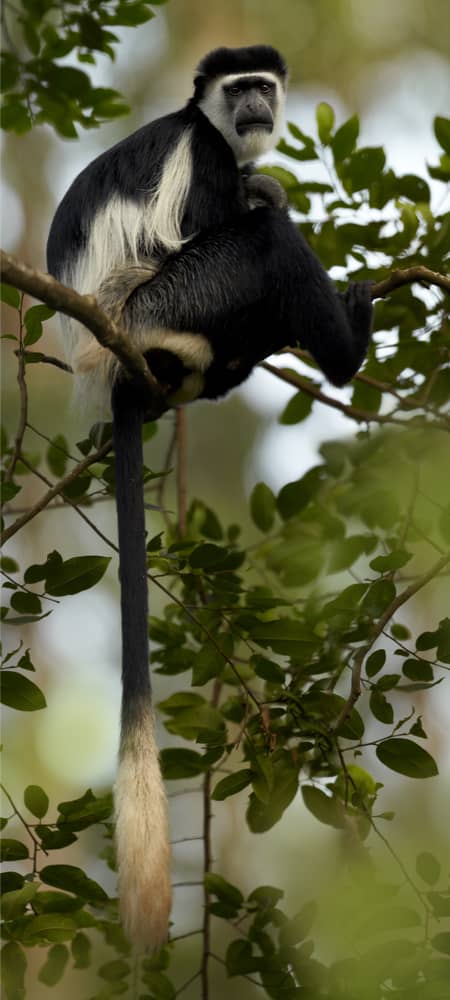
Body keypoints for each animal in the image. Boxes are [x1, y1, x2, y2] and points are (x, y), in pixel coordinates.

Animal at [47, 45, 374, 952]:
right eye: (240, 90)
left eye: (265, 87)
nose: (259, 105)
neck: (218, 132)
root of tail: (111, 360)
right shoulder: (202, 159)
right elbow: (214, 220)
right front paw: (268, 198)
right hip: (169, 300)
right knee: (257, 241)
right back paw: (344, 348)